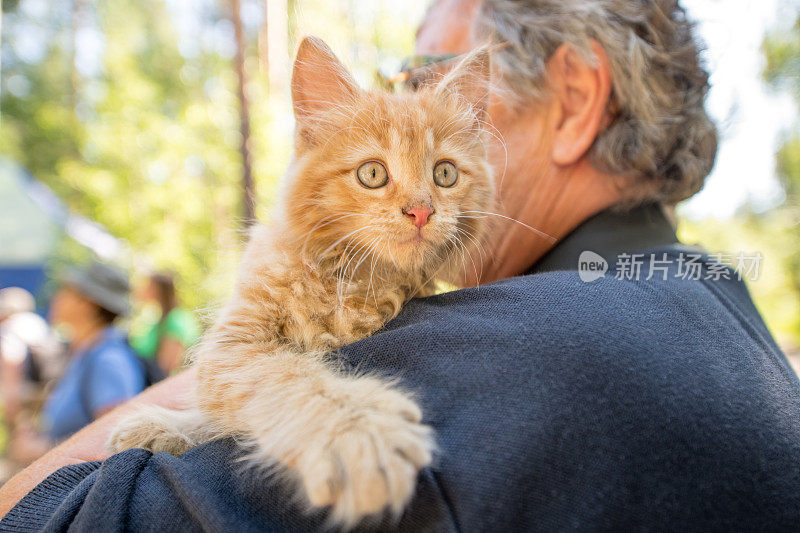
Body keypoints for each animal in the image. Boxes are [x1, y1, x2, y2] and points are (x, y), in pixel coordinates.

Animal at [107, 35, 494, 524]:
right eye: (373, 173)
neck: (352, 279)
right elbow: (287, 378)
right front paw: (360, 434)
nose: (421, 211)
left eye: (445, 173)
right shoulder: (235, 346)